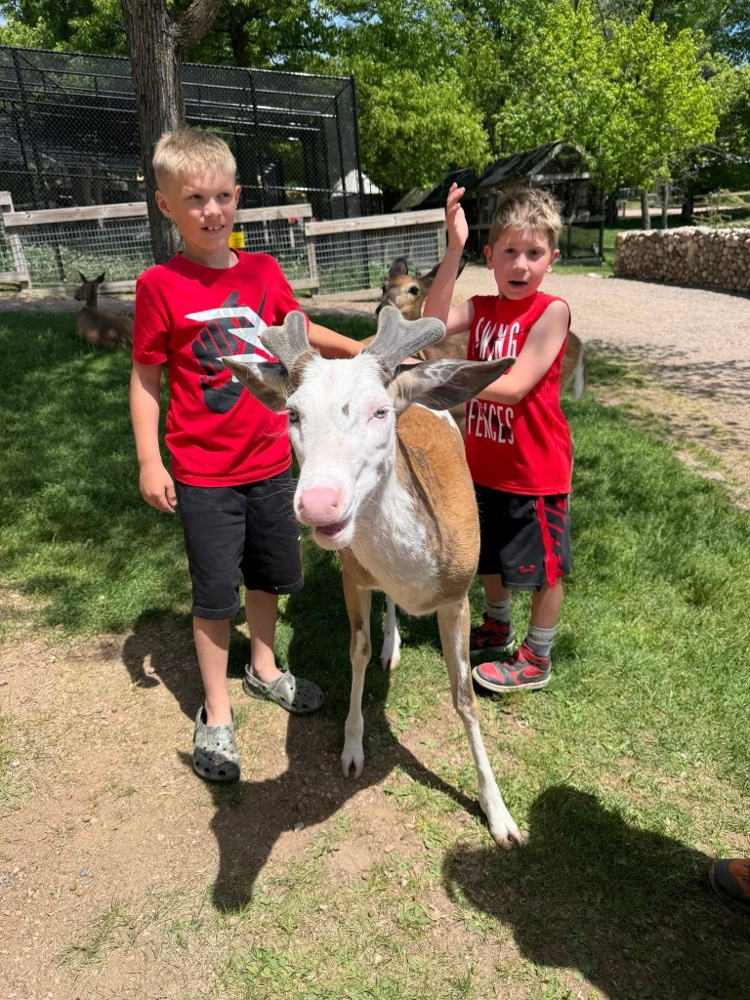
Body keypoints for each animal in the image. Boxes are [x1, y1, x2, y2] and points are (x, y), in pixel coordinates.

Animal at [223, 306, 523, 848]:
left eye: (381, 411)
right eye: (292, 413)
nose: (319, 503)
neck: (417, 573)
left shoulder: (459, 592)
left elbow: (465, 697)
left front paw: (501, 817)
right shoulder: (352, 574)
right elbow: (356, 653)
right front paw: (352, 750)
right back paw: (391, 646)